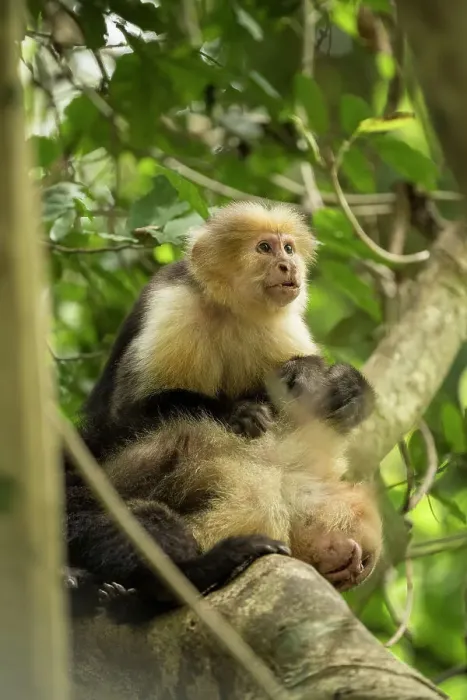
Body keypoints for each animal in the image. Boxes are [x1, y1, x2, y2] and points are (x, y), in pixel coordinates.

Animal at [65, 200, 382, 624]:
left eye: (289, 248)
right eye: (265, 248)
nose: (288, 265)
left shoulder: (283, 330)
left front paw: (346, 388)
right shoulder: (174, 304)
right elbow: (129, 413)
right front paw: (238, 412)